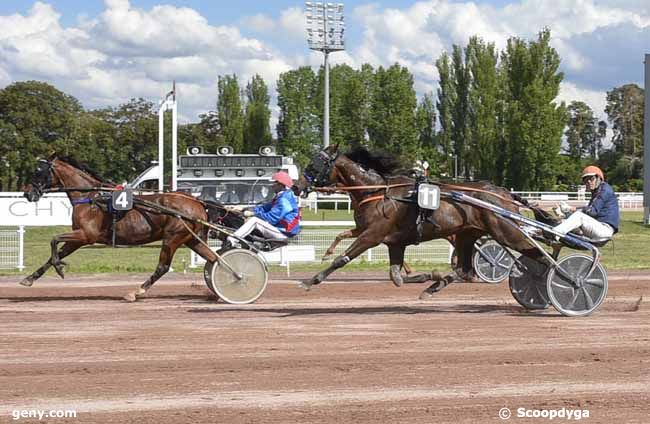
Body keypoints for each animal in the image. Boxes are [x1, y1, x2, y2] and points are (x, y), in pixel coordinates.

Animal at [20, 156, 220, 302]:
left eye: (38, 172)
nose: (27, 193)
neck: (92, 197)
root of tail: (197, 202)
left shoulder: (86, 235)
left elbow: (53, 239)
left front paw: (60, 267)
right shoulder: (78, 239)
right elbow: (54, 254)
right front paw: (29, 278)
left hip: (173, 237)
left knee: (163, 267)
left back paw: (136, 292)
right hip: (191, 239)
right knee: (214, 259)